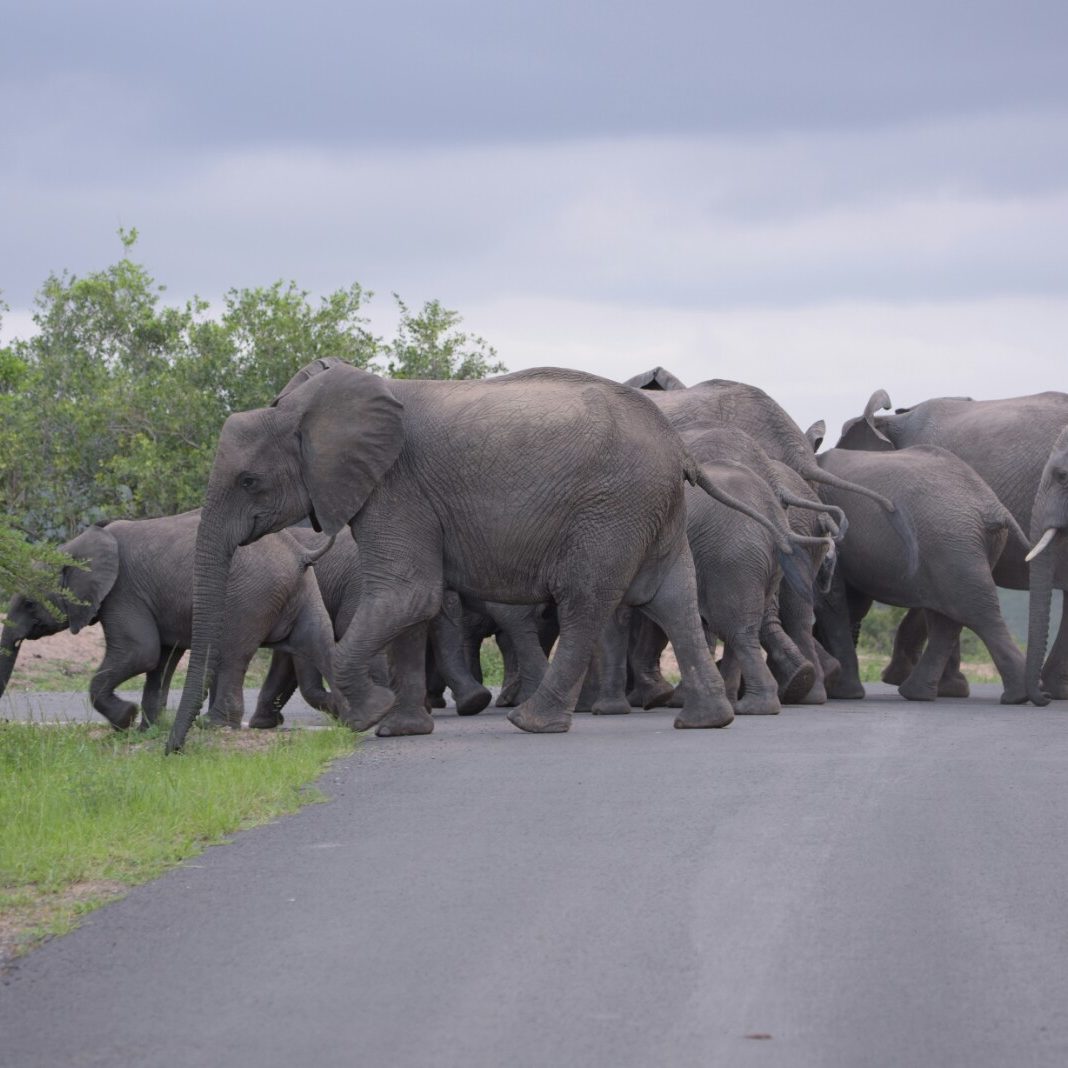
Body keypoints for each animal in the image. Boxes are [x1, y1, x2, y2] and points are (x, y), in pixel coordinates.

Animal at [0, 510, 339, 730]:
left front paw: (127, 718)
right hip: (304, 588)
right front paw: (148, 728)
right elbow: (162, 659)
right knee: (319, 641)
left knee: (232, 655)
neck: (73, 547)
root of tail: (298, 552)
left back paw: (213, 724)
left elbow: (141, 653)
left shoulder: (123, 592)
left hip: (250, 596)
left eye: (29, 603)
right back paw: (350, 718)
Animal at [166, 360, 803, 751]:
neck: (310, 408)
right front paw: (400, 730)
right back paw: (705, 720)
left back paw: (532, 723)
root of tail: (679, 449)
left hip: (610, 511)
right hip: (653, 510)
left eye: (248, 482)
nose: (173, 751)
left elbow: (407, 594)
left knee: (587, 603)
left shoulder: (397, 488)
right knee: (674, 599)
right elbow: (412, 608)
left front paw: (368, 714)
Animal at [811, 444, 1029, 704]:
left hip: (951, 544)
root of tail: (994, 508)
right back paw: (918, 693)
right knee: (951, 618)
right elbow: (851, 603)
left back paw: (1016, 697)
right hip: (963, 548)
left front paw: (843, 693)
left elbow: (830, 599)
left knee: (976, 613)